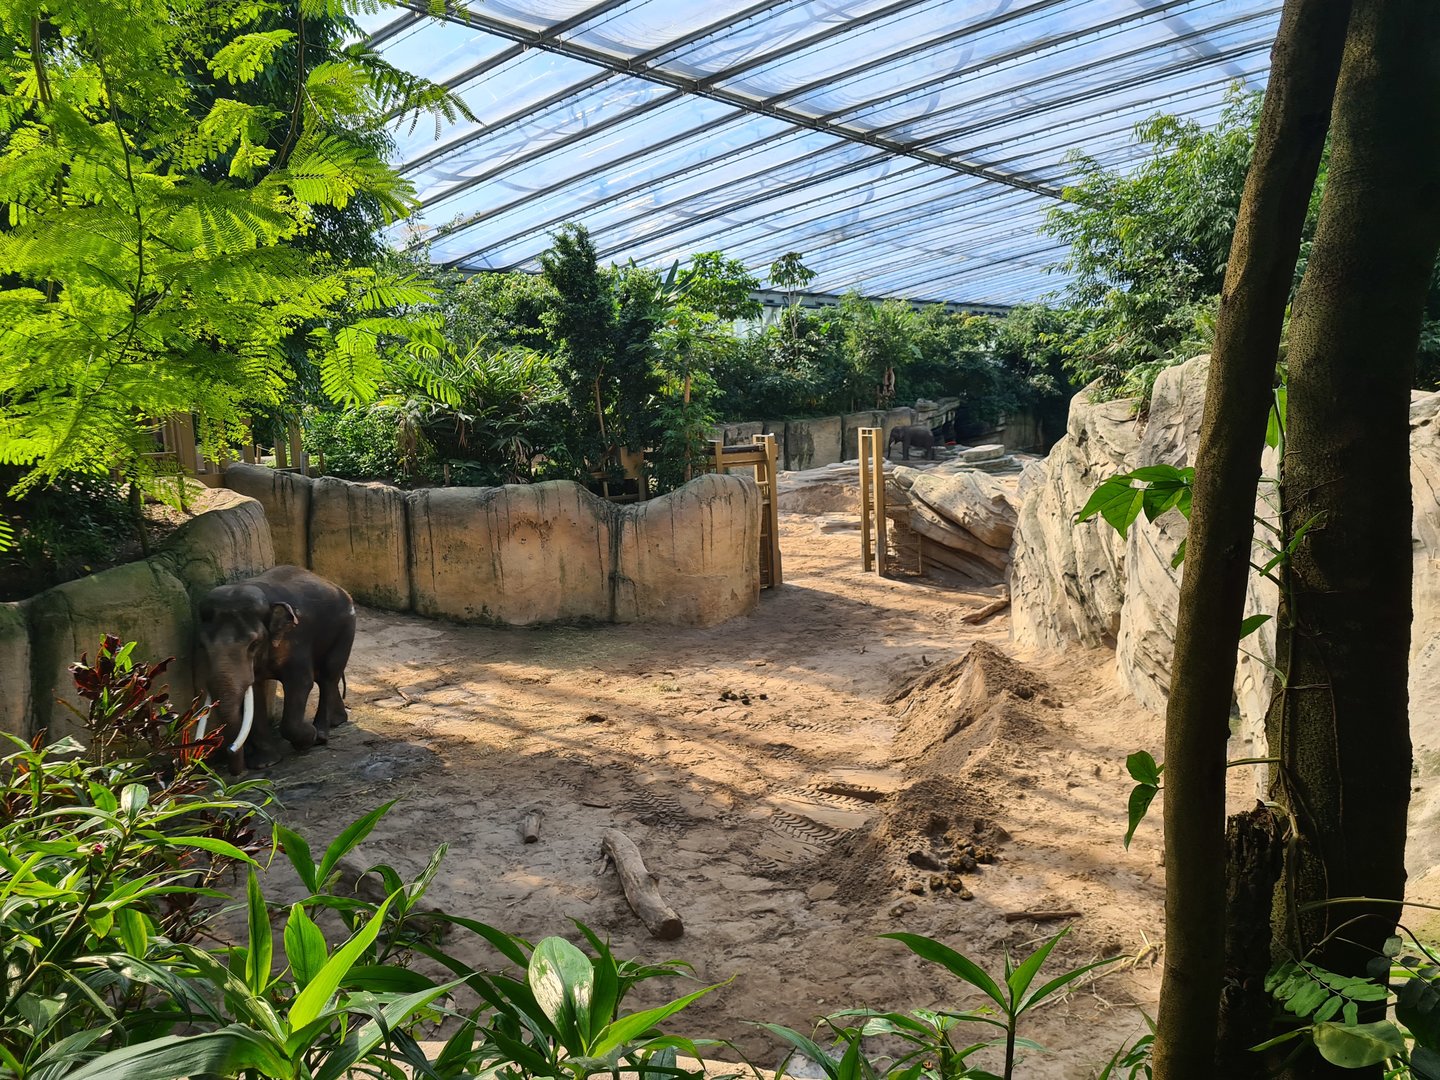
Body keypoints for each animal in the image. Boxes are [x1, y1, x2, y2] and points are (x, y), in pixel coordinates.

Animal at [195, 565, 355, 775]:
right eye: (203, 646)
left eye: (253, 644)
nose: (237, 769)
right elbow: (255, 693)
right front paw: (265, 763)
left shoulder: (296, 639)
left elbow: (301, 683)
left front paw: (308, 739)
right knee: (325, 677)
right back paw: (337, 721)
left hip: (346, 629)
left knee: (328, 676)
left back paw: (321, 735)